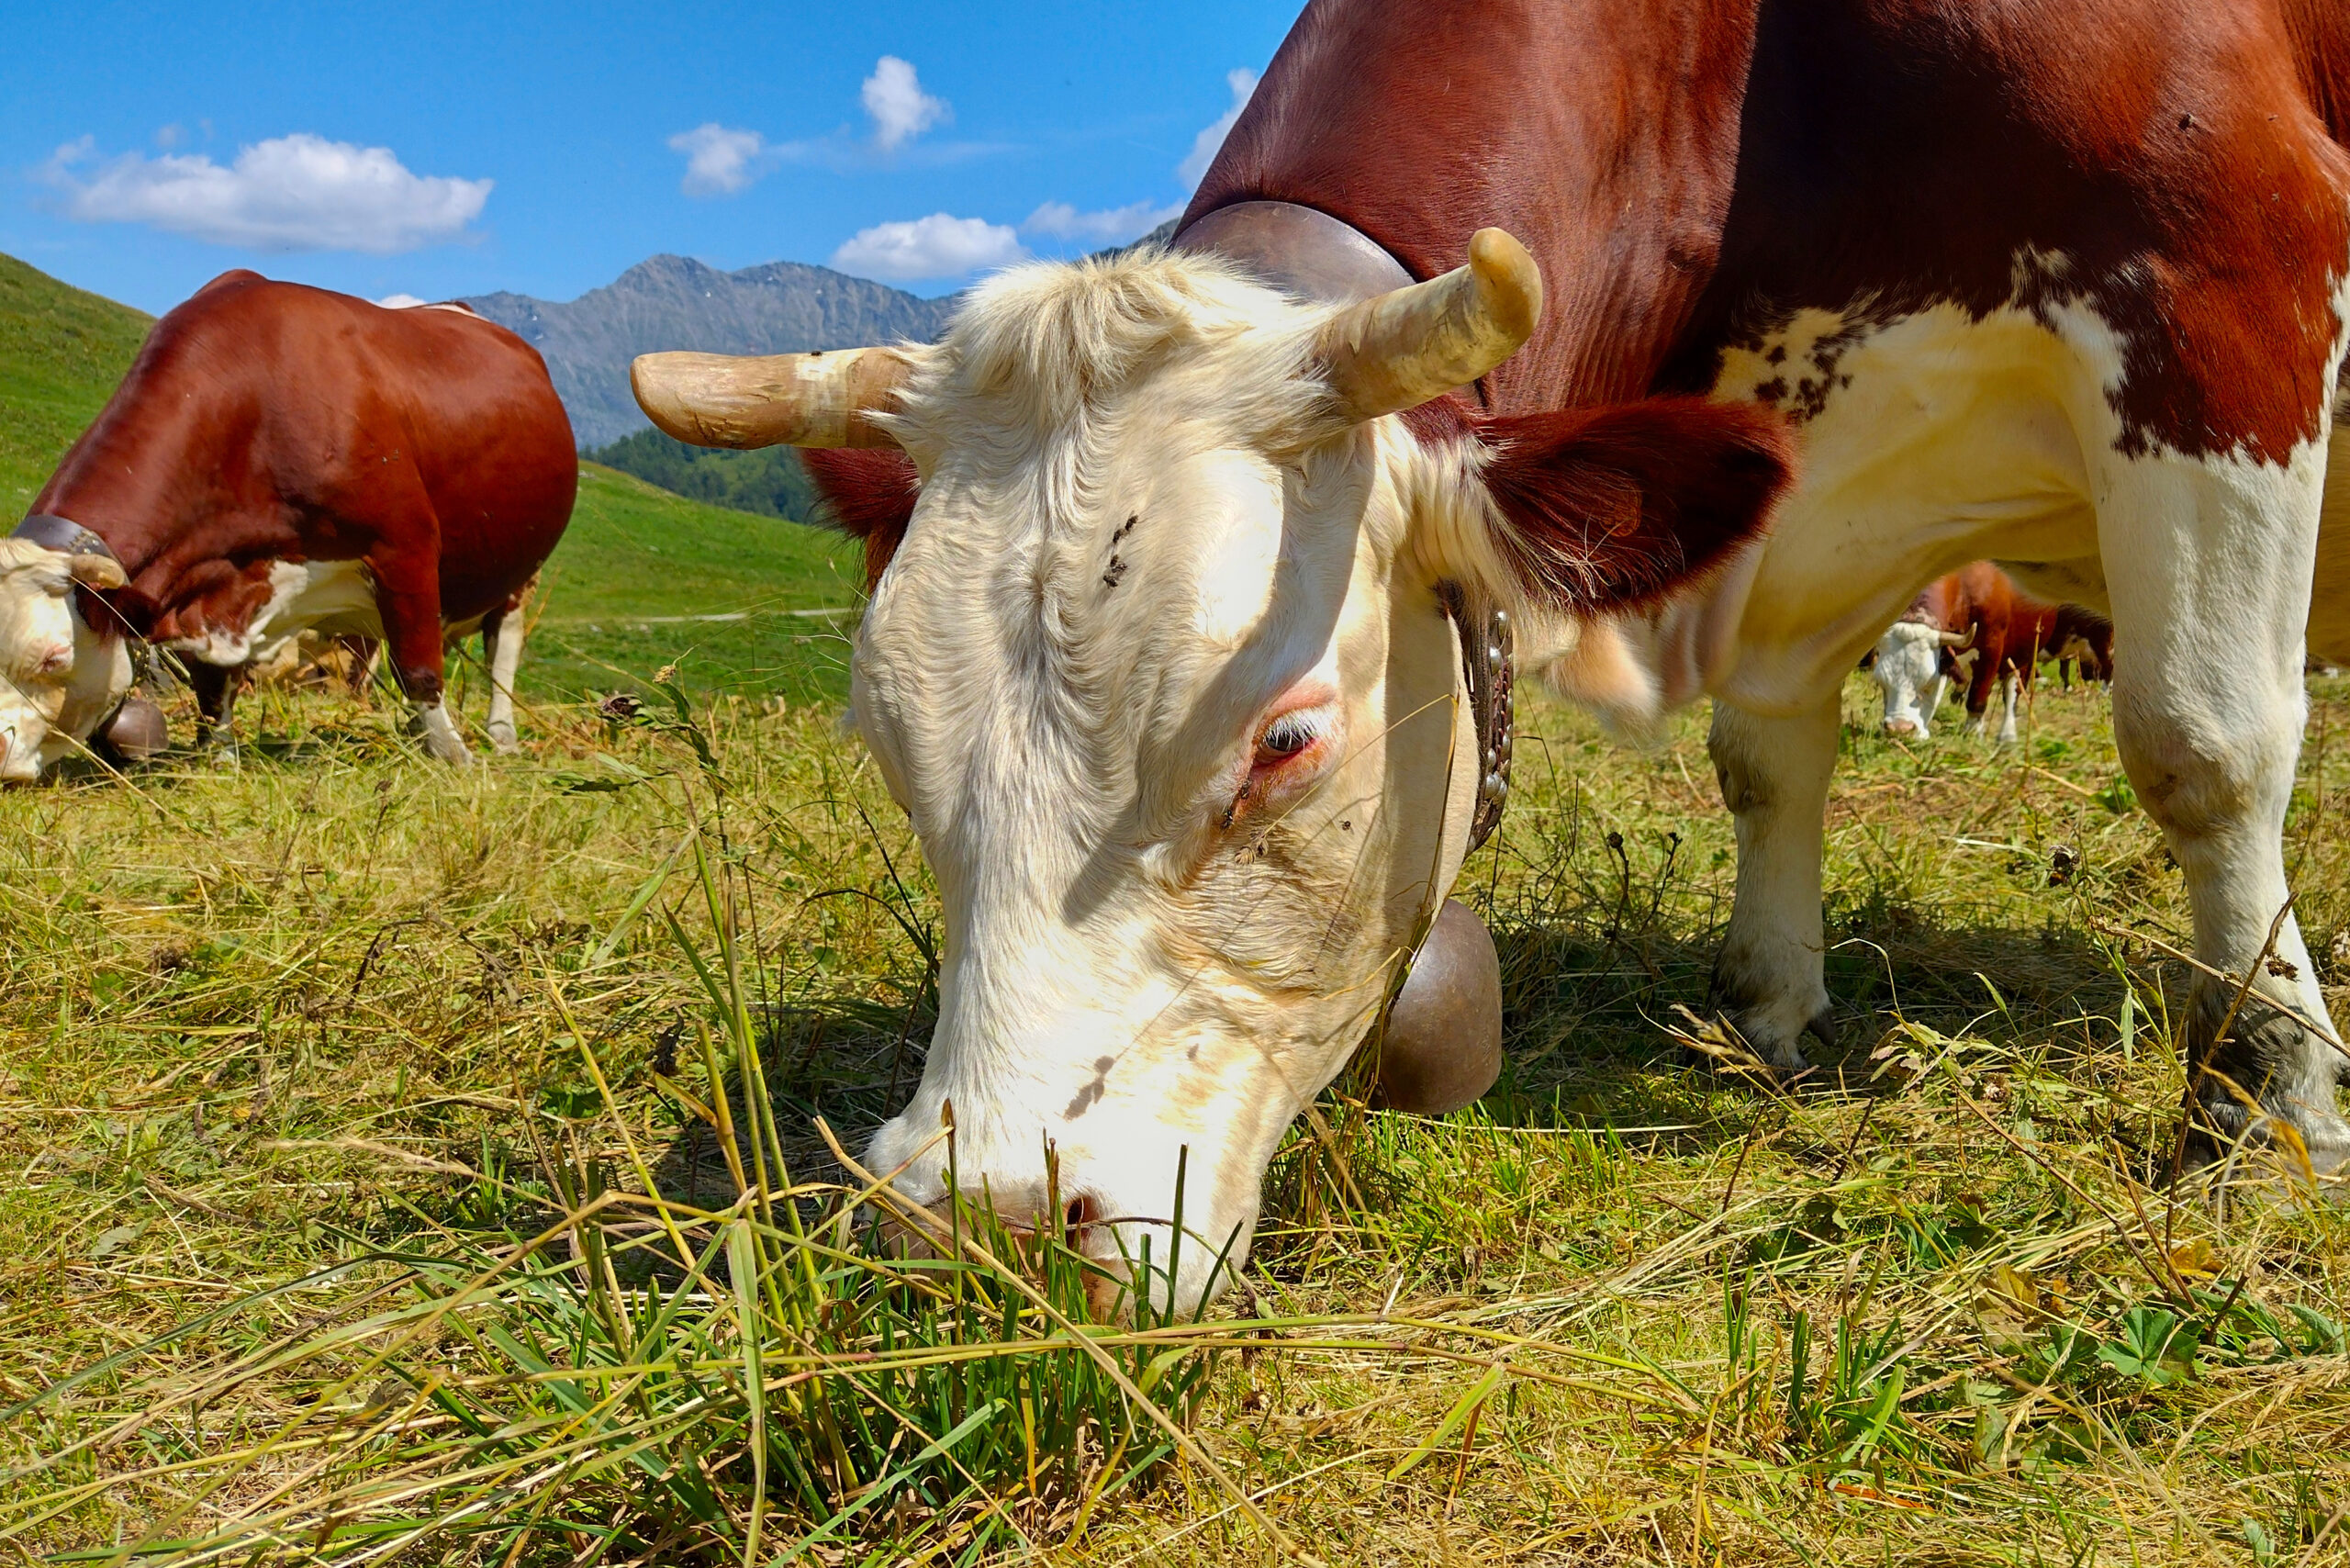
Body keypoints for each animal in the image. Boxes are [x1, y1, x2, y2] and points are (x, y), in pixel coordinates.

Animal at [0, 278, 576, 780]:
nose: (1, 757)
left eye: (54, 659)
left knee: (503, 642)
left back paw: (499, 733)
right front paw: (218, 755)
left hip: (519, 567)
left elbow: (418, 666)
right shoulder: (209, 588)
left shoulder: (404, 546)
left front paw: (453, 756)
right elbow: (211, 682)